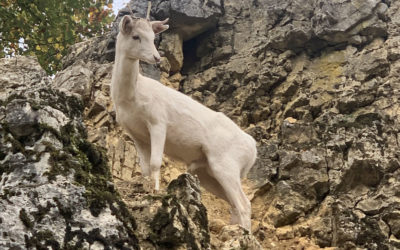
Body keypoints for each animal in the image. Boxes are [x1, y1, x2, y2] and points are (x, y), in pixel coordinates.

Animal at [111, 15, 258, 230]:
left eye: (153, 37)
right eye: (136, 36)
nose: (156, 58)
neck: (132, 98)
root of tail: (253, 149)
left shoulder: (158, 121)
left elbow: (155, 163)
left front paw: (156, 192)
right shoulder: (136, 135)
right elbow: (145, 168)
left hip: (226, 165)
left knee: (244, 204)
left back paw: (244, 232)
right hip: (207, 173)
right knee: (234, 204)